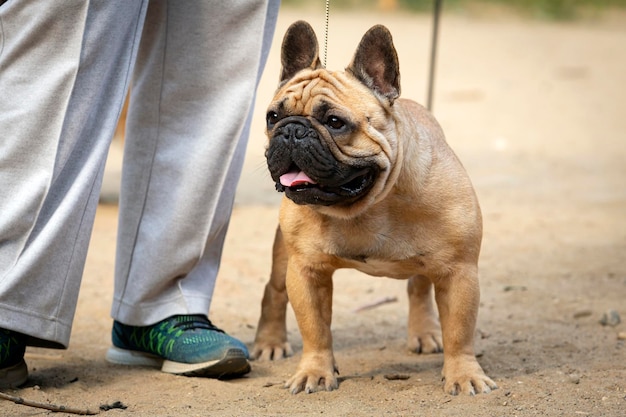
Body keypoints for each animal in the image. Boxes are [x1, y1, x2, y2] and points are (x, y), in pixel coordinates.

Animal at [251, 20, 494, 396]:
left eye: (335, 122)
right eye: (272, 116)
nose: (291, 130)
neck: (369, 203)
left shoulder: (459, 272)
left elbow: (459, 331)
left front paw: (464, 374)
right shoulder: (306, 272)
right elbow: (315, 330)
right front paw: (314, 371)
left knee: (419, 288)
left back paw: (424, 333)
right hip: (283, 258)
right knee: (274, 291)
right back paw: (270, 342)